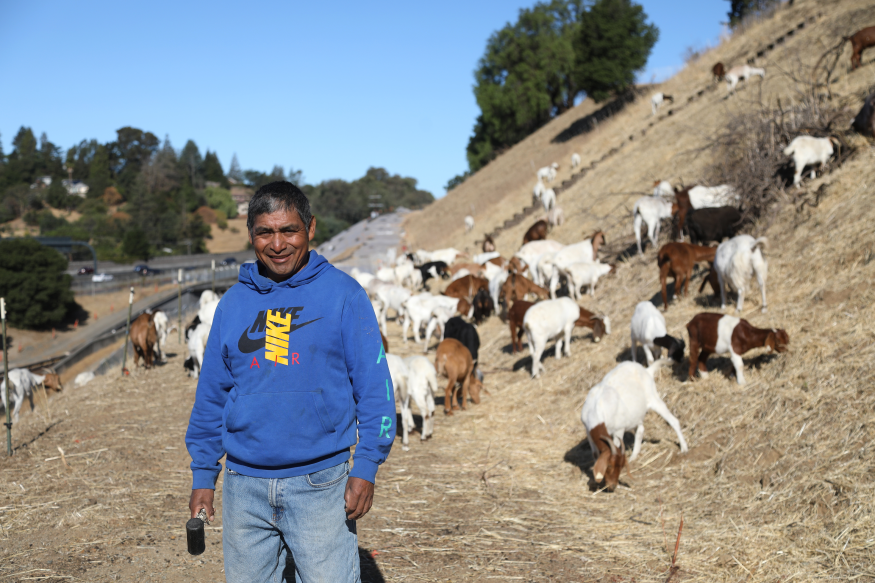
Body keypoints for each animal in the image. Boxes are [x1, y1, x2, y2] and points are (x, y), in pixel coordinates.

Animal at [580, 360, 692, 492]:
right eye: (609, 465)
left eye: (621, 466)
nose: (613, 486)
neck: (598, 407)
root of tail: (647, 370)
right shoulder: (588, 431)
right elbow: (595, 454)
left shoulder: (619, 430)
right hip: (635, 414)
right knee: (640, 429)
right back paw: (634, 456)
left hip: (653, 398)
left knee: (674, 421)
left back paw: (684, 448)